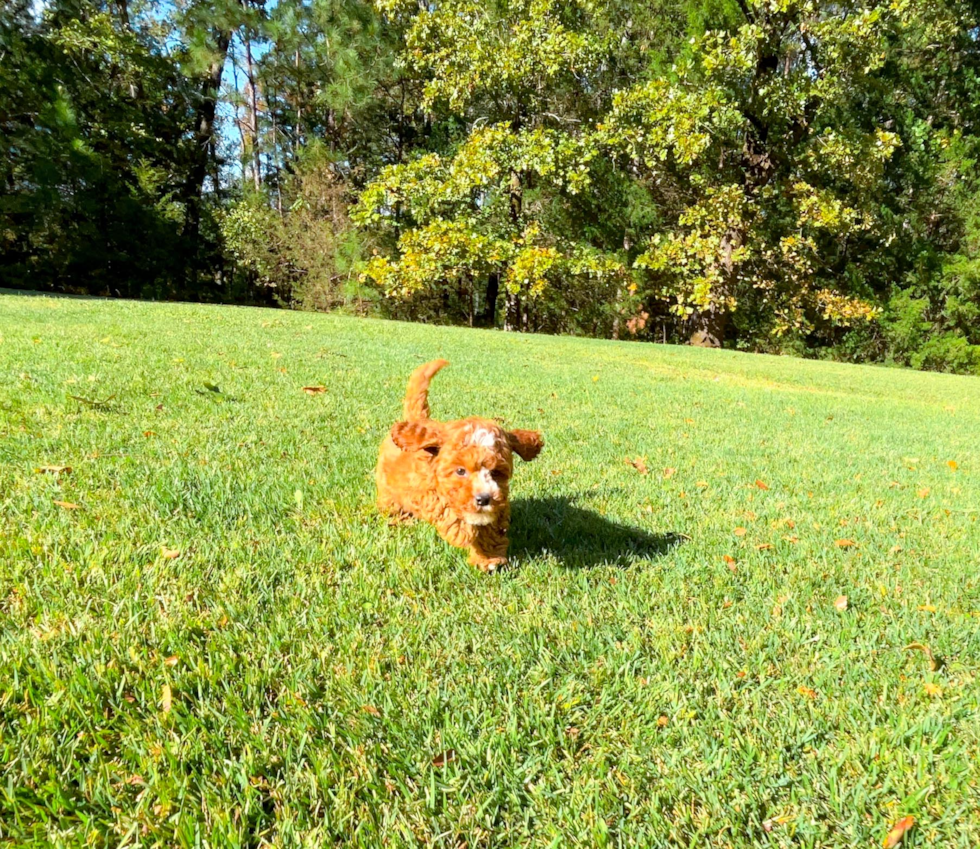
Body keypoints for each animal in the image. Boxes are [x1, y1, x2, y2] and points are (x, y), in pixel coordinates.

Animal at [376, 358, 544, 568]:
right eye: (460, 471)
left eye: (496, 472)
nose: (483, 499)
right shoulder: (425, 493)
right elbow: (446, 511)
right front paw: (462, 533)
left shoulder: (499, 505)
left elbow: (492, 529)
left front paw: (488, 558)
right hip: (387, 489)